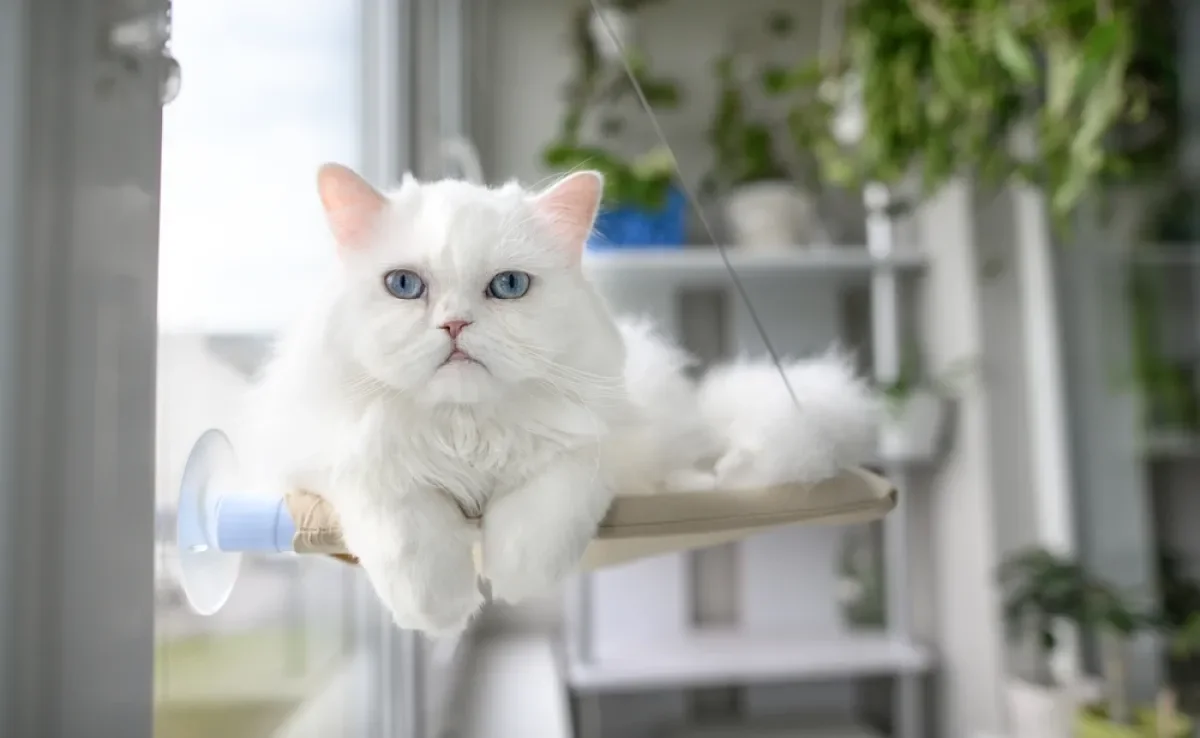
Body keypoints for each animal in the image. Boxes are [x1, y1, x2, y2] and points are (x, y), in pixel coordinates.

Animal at [246, 164, 883, 638]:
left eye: (508, 286)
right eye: (404, 285)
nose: (455, 324)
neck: (465, 430)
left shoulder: (592, 451)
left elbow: (544, 511)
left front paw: (513, 580)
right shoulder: (328, 456)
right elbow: (403, 522)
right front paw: (439, 607)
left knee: (698, 466)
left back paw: (710, 480)